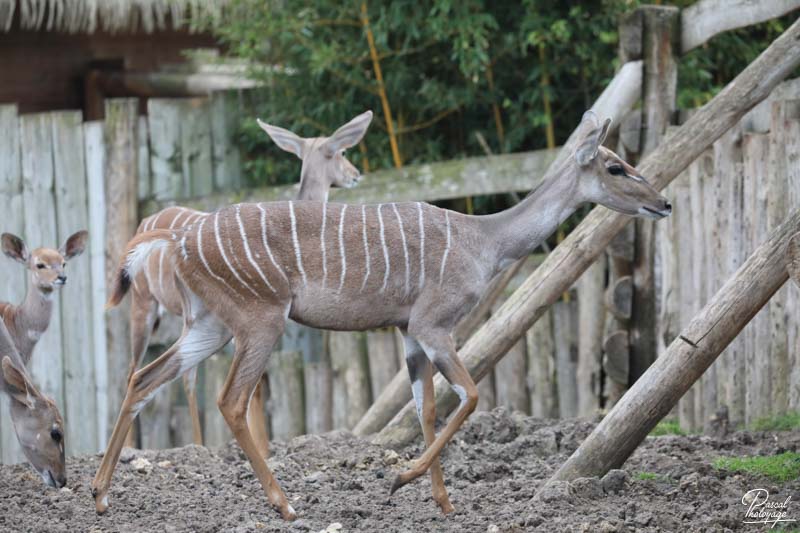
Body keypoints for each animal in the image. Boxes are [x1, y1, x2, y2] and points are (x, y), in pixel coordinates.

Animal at [126, 111, 376, 448]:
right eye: (342, 152)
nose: (356, 174)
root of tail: (148, 223)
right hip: (144, 305)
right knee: (138, 368)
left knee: (173, 373)